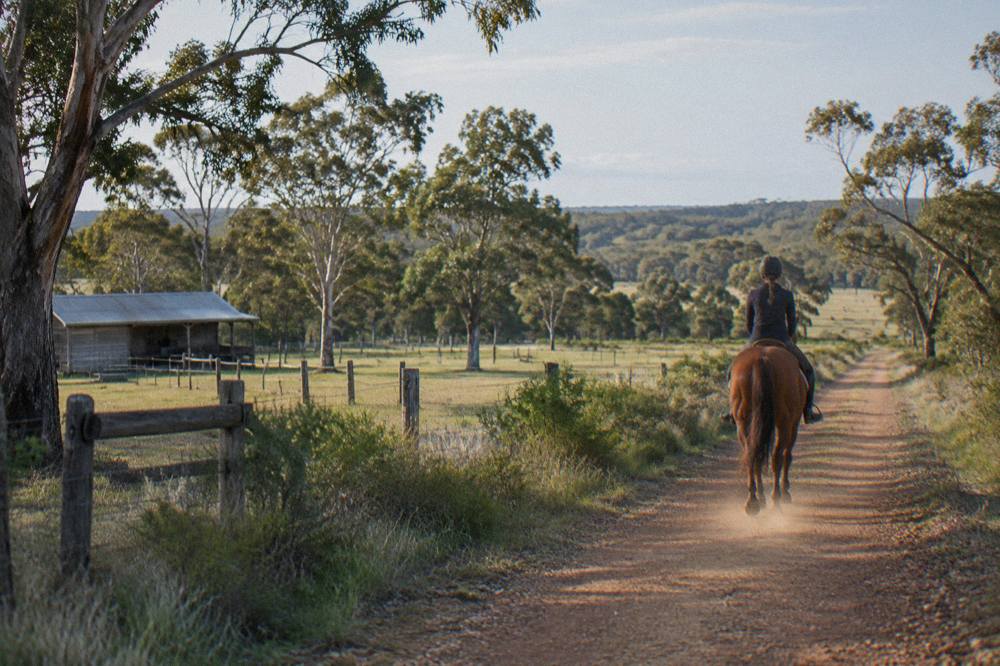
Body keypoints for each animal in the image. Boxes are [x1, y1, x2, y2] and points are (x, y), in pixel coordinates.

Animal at [728, 341, 808, 515]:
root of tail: (761, 360)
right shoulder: (794, 424)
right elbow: (787, 455)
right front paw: (785, 491)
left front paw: (761, 496)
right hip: (784, 422)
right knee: (777, 456)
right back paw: (776, 499)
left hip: (743, 422)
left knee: (752, 454)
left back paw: (753, 502)